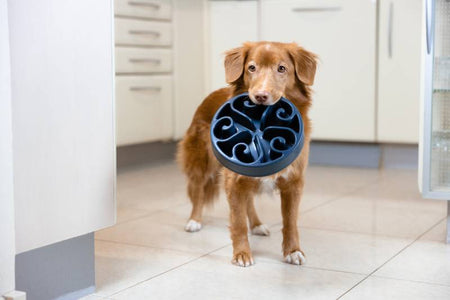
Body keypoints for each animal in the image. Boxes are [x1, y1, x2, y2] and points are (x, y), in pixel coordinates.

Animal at [176, 40, 316, 268]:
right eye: (252, 68)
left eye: (282, 68)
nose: (260, 96)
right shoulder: (233, 180)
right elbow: (238, 221)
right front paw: (242, 254)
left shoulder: (293, 182)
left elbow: (290, 221)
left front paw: (293, 251)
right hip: (201, 162)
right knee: (198, 192)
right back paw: (194, 221)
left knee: (248, 200)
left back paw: (257, 225)